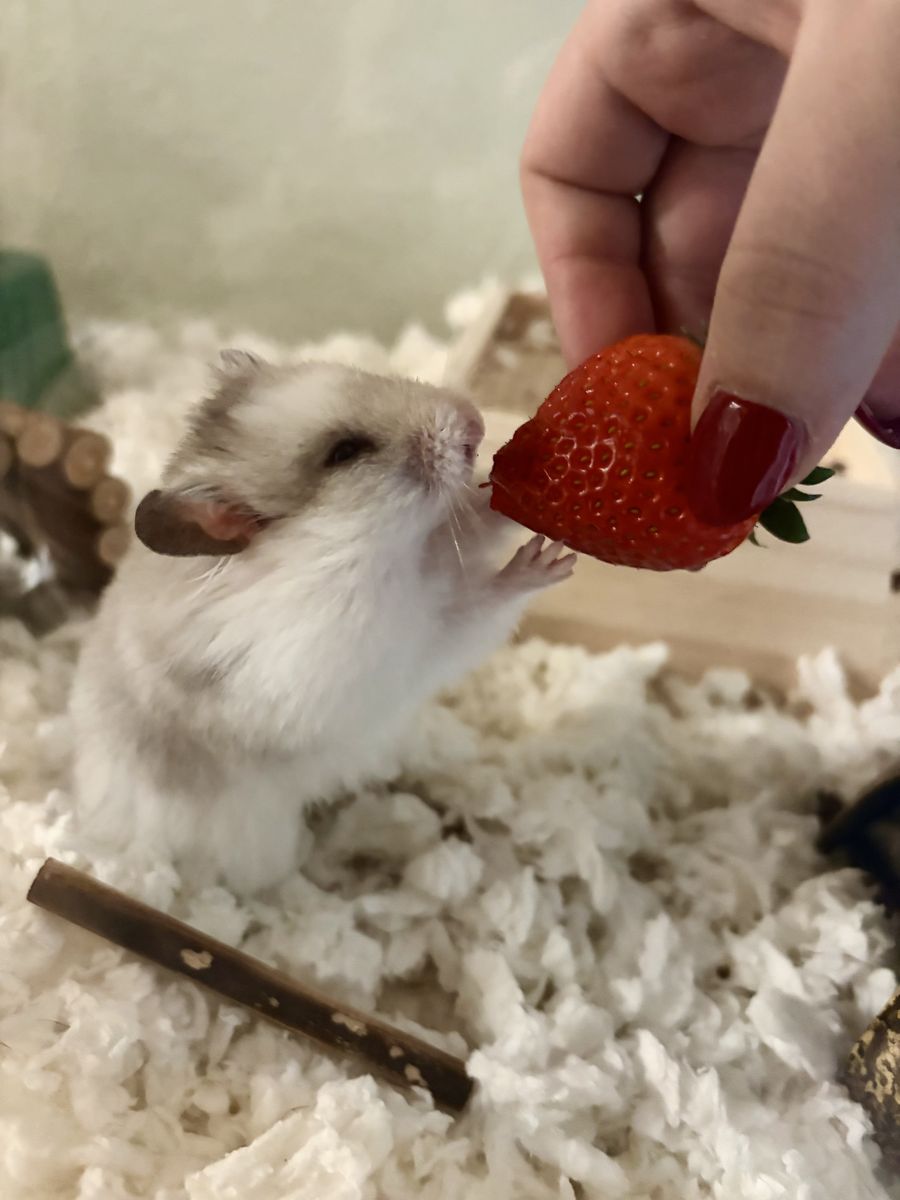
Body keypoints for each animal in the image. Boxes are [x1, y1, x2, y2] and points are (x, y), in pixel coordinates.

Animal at [68, 351, 575, 894]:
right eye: (344, 452)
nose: (475, 421)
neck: (343, 550)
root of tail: (96, 828)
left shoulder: (435, 554)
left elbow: (476, 523)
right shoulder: (392, 645)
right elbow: (470, 612)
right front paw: (544, 563)